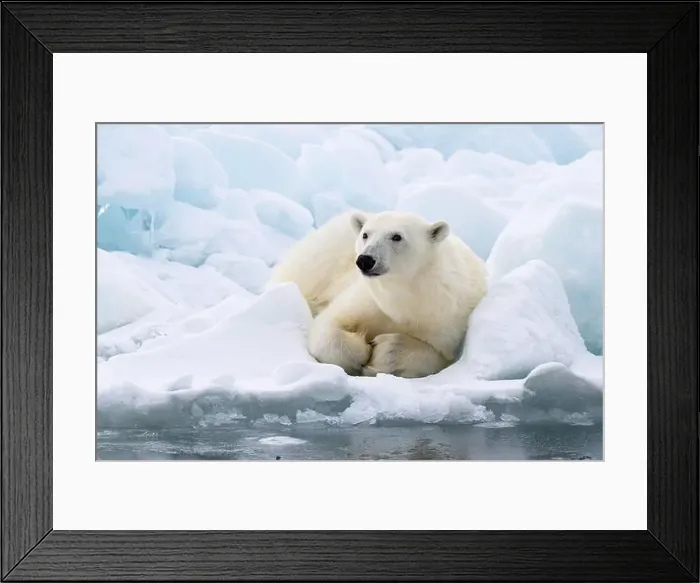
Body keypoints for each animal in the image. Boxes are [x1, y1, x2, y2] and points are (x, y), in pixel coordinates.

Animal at [266, 210, 488, 378]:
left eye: (397, 236)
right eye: (366, 234)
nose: (365, 260)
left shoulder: (446, 318)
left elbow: (438, 356)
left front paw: (384, 352)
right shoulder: (369, 299)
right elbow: (329, 325)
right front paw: (360, 353)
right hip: (318, 260)